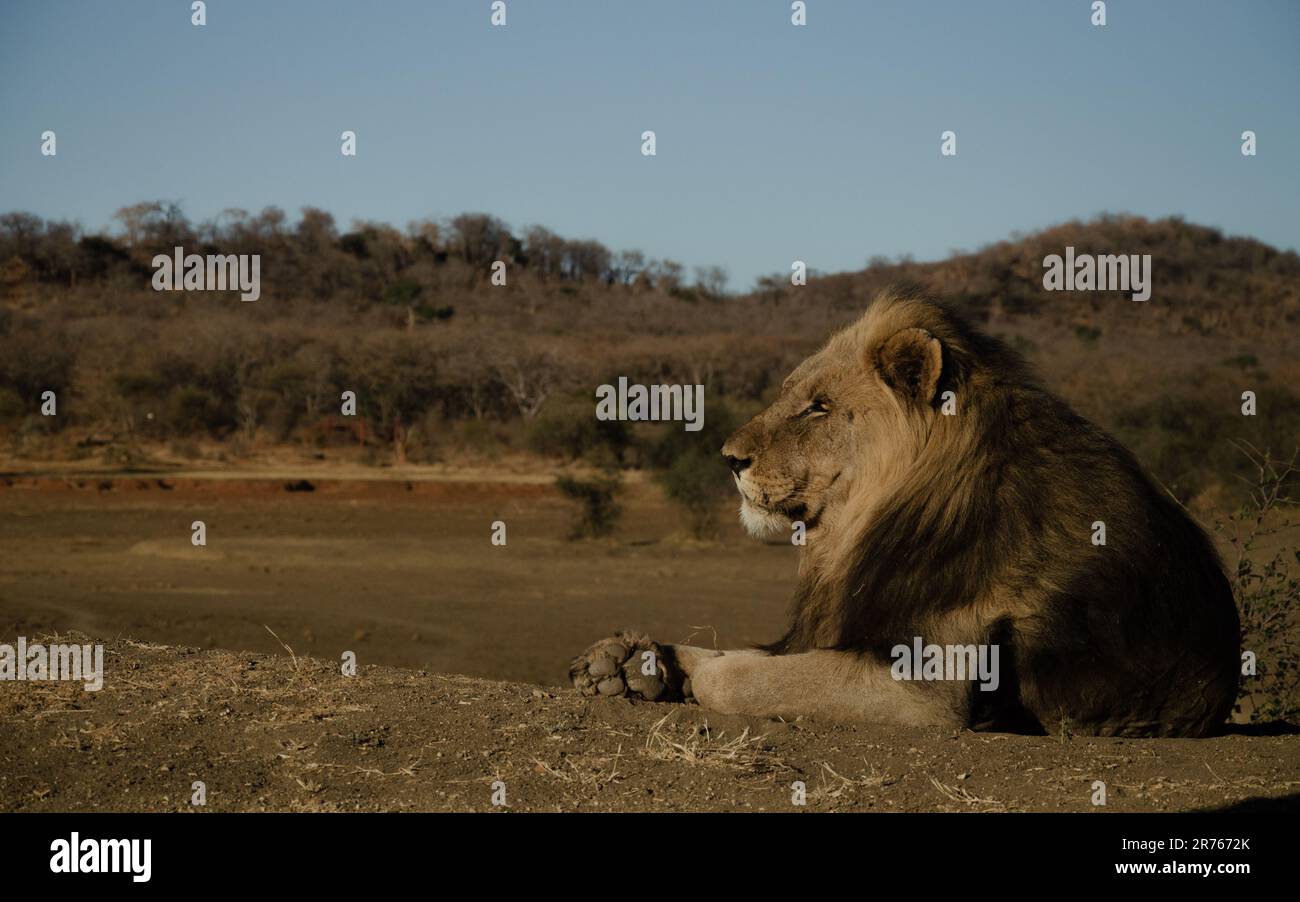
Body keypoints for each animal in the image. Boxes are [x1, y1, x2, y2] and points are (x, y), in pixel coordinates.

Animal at [569, 293, 1237, 738]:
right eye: (789, 394)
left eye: (819, 408)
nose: (730, 459)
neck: (858, 523)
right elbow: (736, 652)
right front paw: (627, 661)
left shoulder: (921, 686)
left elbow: (737, 676)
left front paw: (684, 677)